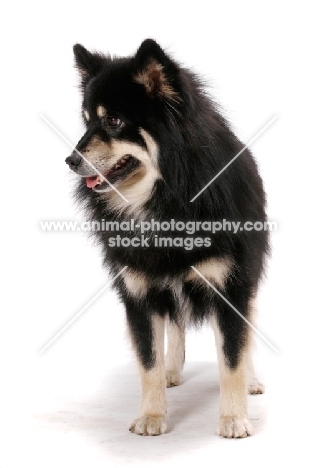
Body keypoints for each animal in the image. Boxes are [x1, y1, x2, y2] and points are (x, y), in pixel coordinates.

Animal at [65, 38, 268, 436]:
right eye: (86, 119)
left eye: (113, 121)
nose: (70, 160)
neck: (165, 199)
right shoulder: (140, 290)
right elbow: (148, 359)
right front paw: (152, 415)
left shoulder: (230, 284)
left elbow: (232, 356)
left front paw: (234, 418)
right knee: (175, 328)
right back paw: (173, 371)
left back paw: (252, 381)